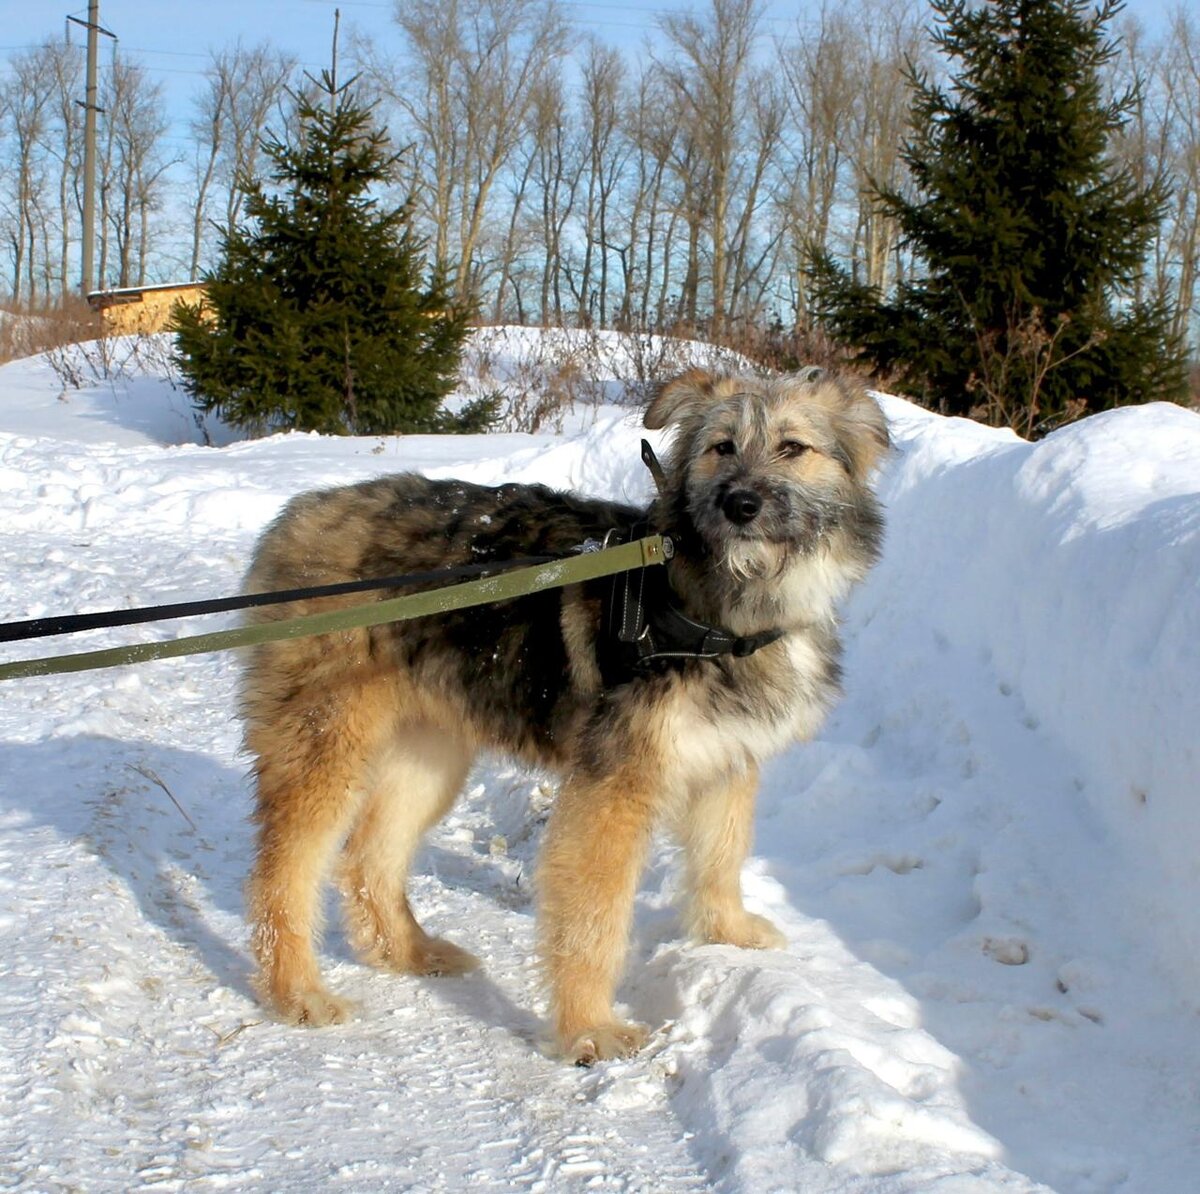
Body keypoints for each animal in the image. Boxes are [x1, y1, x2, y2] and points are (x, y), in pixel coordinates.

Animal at [238, 367, 892, 1065]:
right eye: (722, 446)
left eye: (793, 447)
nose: (739, 504)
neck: (712, 603)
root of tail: (300, 514)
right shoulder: (614, 786)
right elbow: (593, 917)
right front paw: (589, 1026)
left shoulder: (727, 760)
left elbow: (721, 855)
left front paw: (730, 932)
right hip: (325, 742)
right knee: (283, 869)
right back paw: (296, 990)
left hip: (430, 751)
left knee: (368, 857)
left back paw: (411, 952)